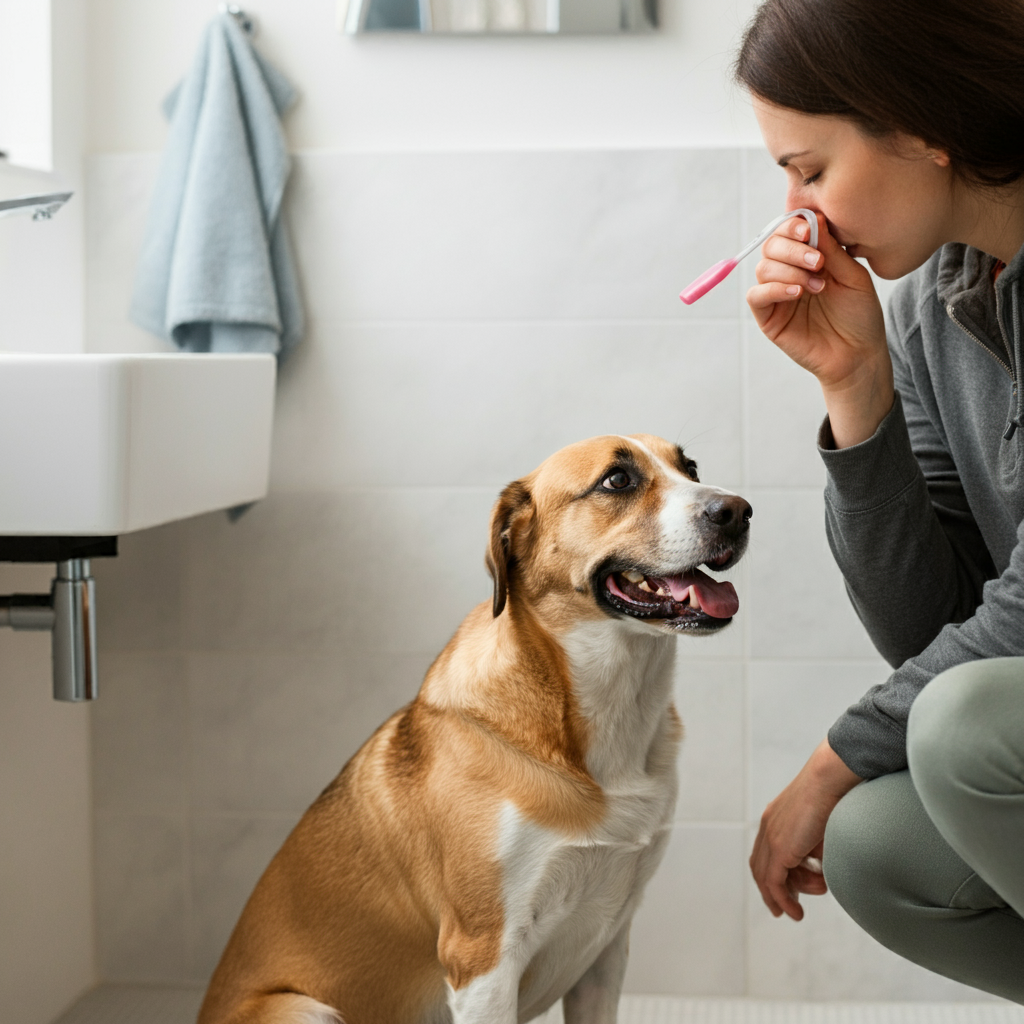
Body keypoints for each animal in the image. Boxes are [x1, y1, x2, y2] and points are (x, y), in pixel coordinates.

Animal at [197, 432, 753, 1024]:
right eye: (617, 480)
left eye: (690, 468)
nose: (738, 511)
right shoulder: (483, 957)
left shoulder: (606, 949)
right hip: (304, 1009)